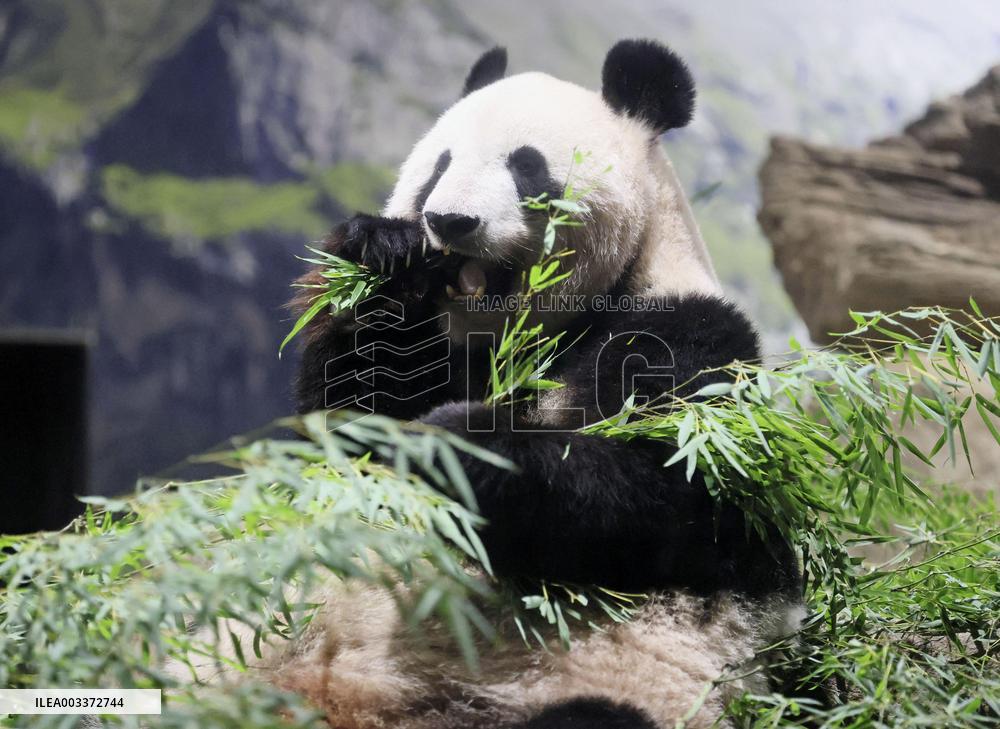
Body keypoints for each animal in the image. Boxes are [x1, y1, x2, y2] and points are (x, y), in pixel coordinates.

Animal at [280, 39, 803, 729]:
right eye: (440, 164)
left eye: (526, 167)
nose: (449, 220)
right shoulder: (442, 349)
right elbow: (339, 433)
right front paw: (382, 250)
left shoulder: (686, 334)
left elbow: (677, 494)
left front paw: (453, 443)